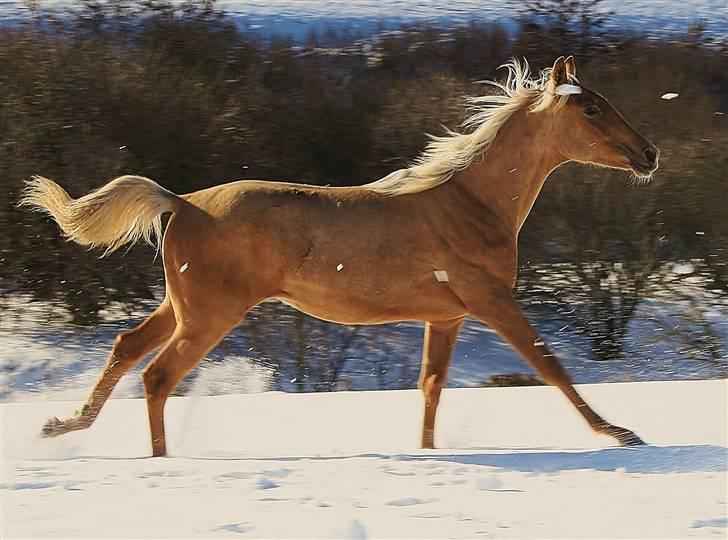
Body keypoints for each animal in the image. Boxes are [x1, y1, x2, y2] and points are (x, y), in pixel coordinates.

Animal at [21, 58, 660, 456]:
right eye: (591, 109)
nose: (649, 153)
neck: (470, 202)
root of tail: (180, 203)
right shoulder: (491, 300)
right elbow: (550, 366)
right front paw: (620, 433)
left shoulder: (446, 316)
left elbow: (431, 386)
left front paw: (426, 451)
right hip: (208, 315)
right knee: (157, 376)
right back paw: (159, 459)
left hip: (181, 308)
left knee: (126, 347)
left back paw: (59, 427)